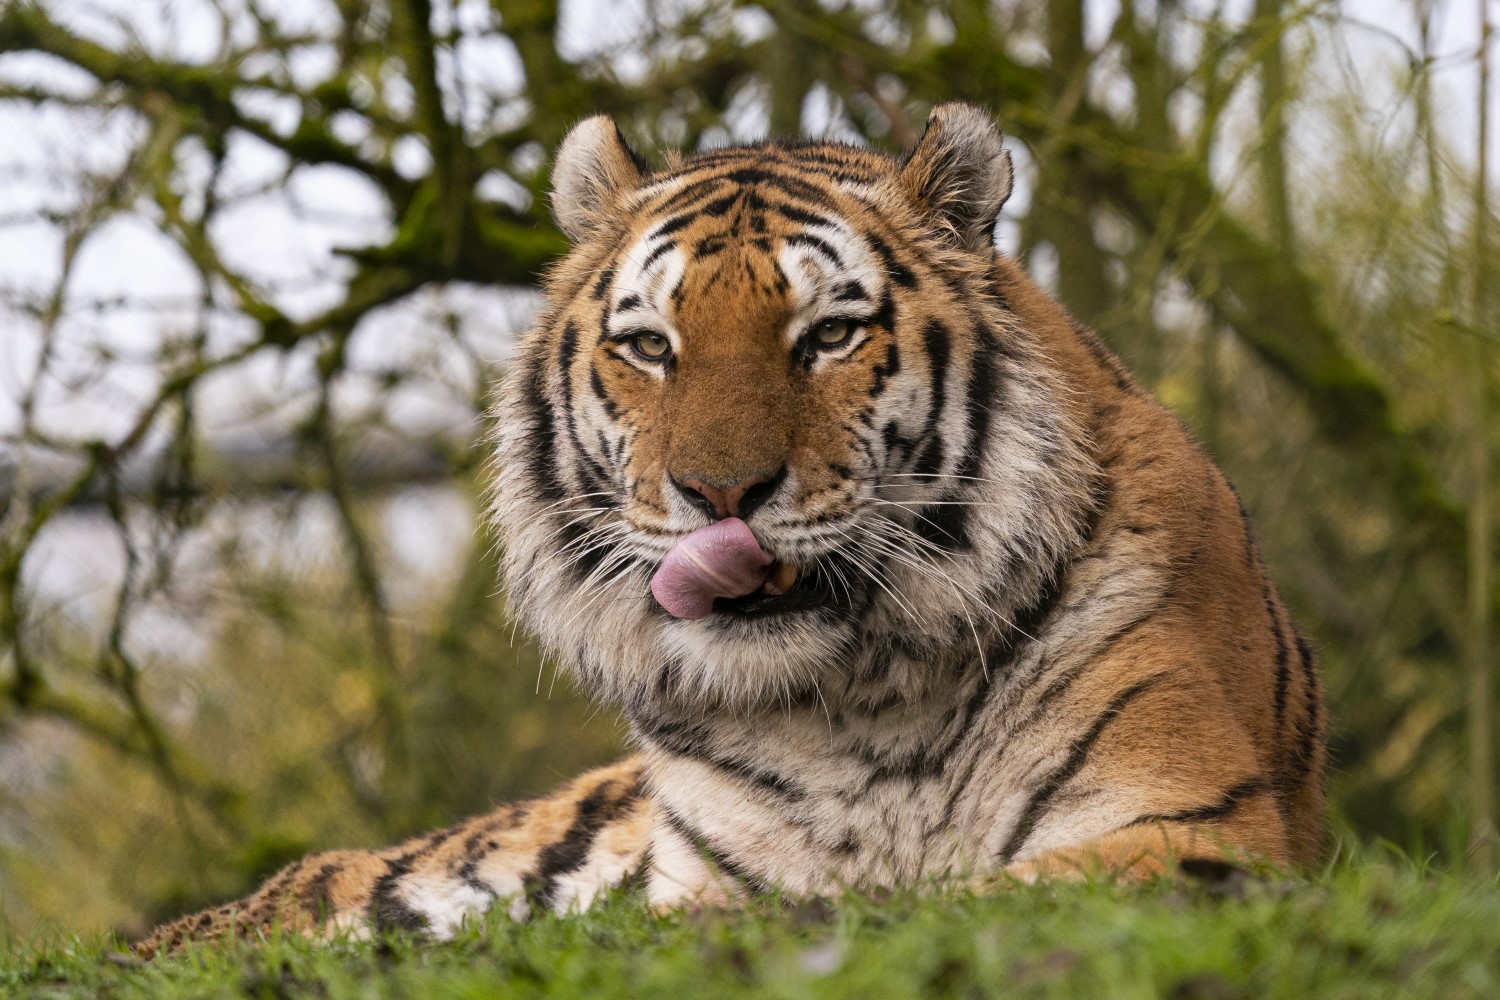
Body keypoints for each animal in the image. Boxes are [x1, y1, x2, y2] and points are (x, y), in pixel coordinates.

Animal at [136, 102, 1324, 957]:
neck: (856, 708)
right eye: (651, 346)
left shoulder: (1193, 825)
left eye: (830, 335)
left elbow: (958, 894)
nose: (720, 494)